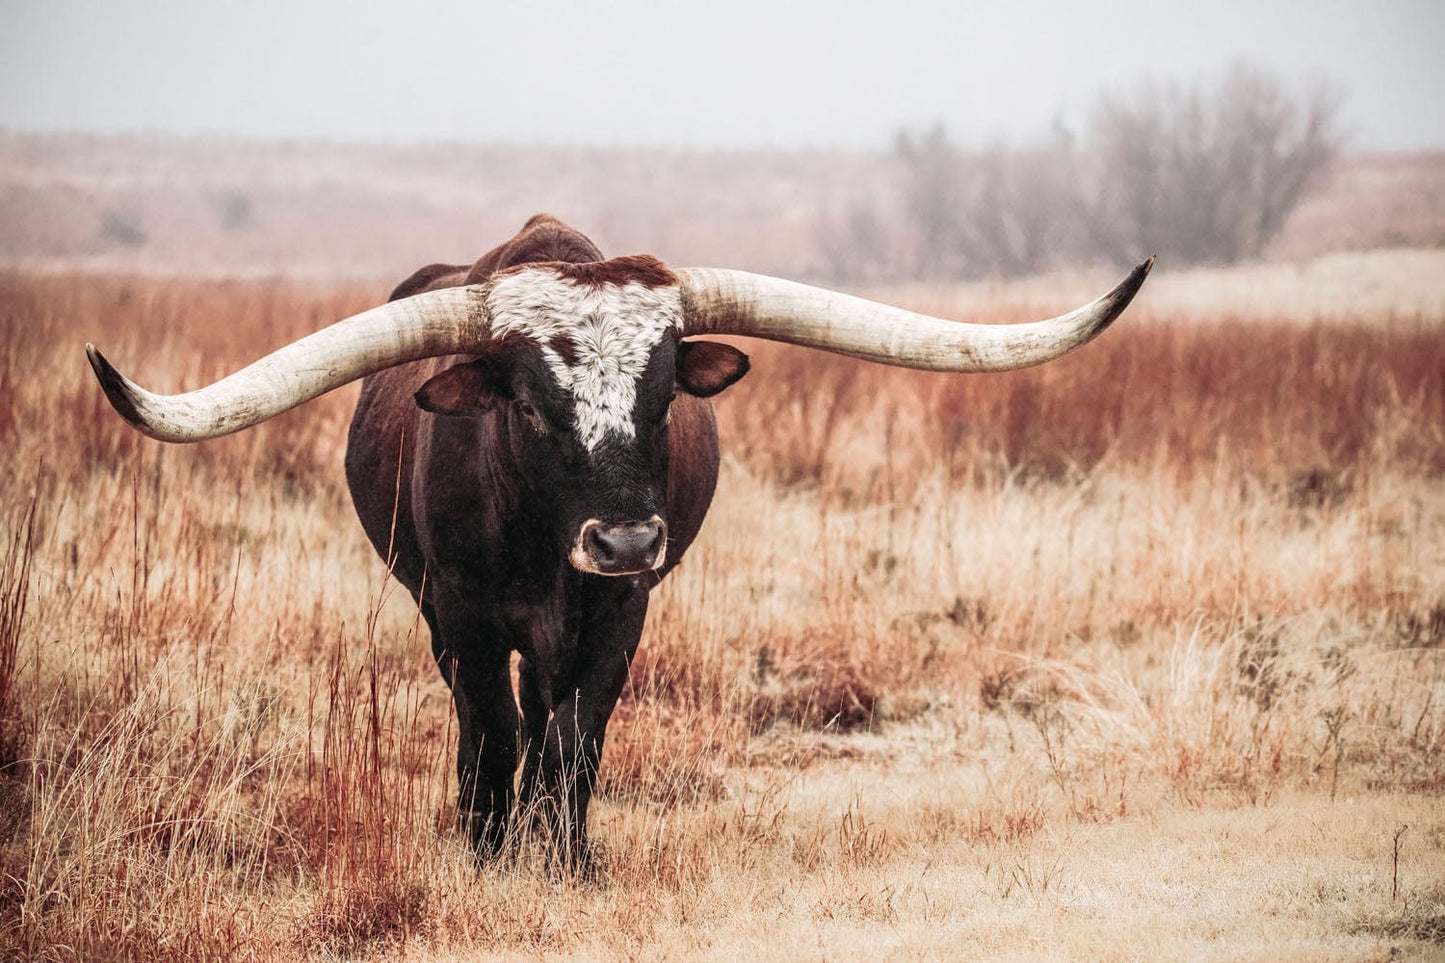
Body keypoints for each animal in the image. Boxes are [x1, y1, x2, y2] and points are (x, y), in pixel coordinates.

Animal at [86, 214, 1151, 865]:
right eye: (526, 402)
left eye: (664, 391)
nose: (629, 537)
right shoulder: (464, 616)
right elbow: (491, 728)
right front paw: (488, 848)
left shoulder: (621, 616)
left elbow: (577, 733)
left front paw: (567, 855)